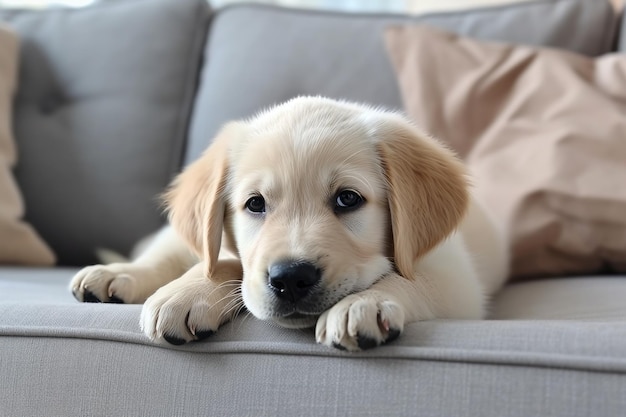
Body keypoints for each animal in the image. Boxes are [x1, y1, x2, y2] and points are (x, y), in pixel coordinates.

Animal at [69, 96, 508, 350]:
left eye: (348, 199)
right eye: (255, 204)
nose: (291, 278)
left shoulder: (455, 278)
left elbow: (408, 279)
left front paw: (364, 303)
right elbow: (220, 262)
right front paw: (186, 293)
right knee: (170, 250)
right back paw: (115, 275)